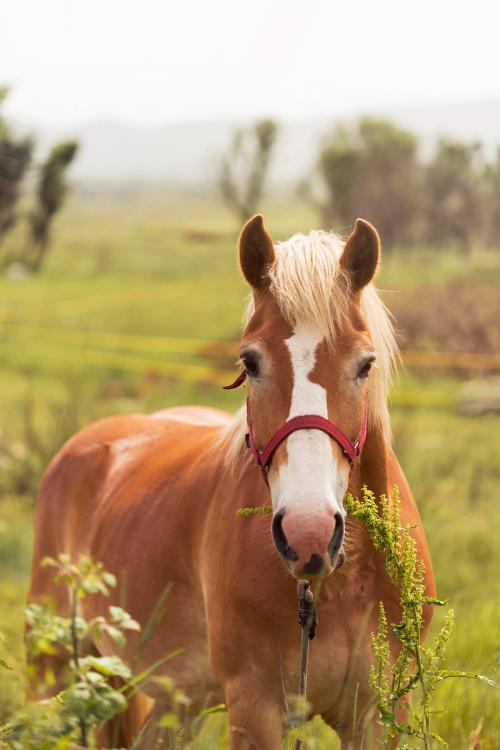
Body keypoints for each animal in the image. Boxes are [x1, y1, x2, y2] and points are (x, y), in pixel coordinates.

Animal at [28, 215, 435, 749]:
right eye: (250, 362)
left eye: (365, 364)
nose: (308, 533)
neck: (334, 588)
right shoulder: (255, 709)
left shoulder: (377, 714)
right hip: (53, 664)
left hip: (176, 702)